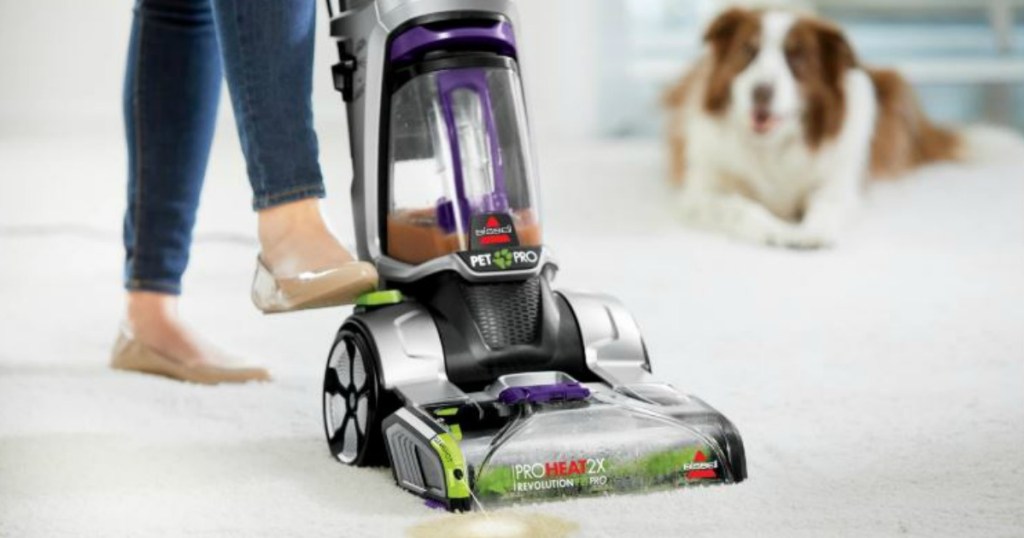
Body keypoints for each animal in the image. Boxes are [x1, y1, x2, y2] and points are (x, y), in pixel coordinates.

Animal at [663, 8, 958, 247]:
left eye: (797, 58)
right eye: (748, 51)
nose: (761, 91)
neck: (774, 146)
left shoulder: (836, 185)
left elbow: (825, 209)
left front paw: (811, 233)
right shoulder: (702, 193)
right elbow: (741, 207)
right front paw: (776, 230)